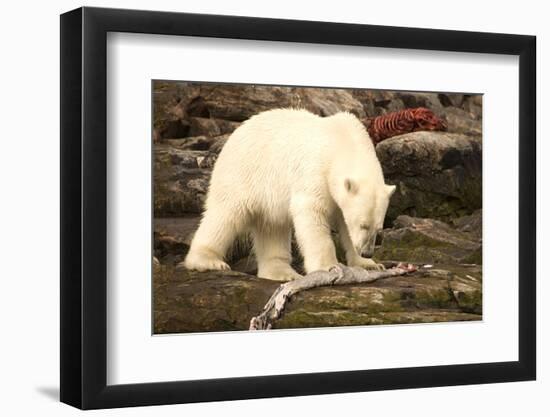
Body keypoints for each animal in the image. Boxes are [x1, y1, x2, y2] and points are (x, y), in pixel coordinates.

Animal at [184, 109, 396, 282]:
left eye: (379, 228)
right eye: (363, 225)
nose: (367, 252)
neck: (343, 141)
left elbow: (344, 224)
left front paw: (370, 264)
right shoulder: (315, 171)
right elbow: (311, 212)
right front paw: (329, 266)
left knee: (272, 227)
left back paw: (282, 273)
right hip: (243, 174)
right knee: (226, 214)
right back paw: (208, 261)